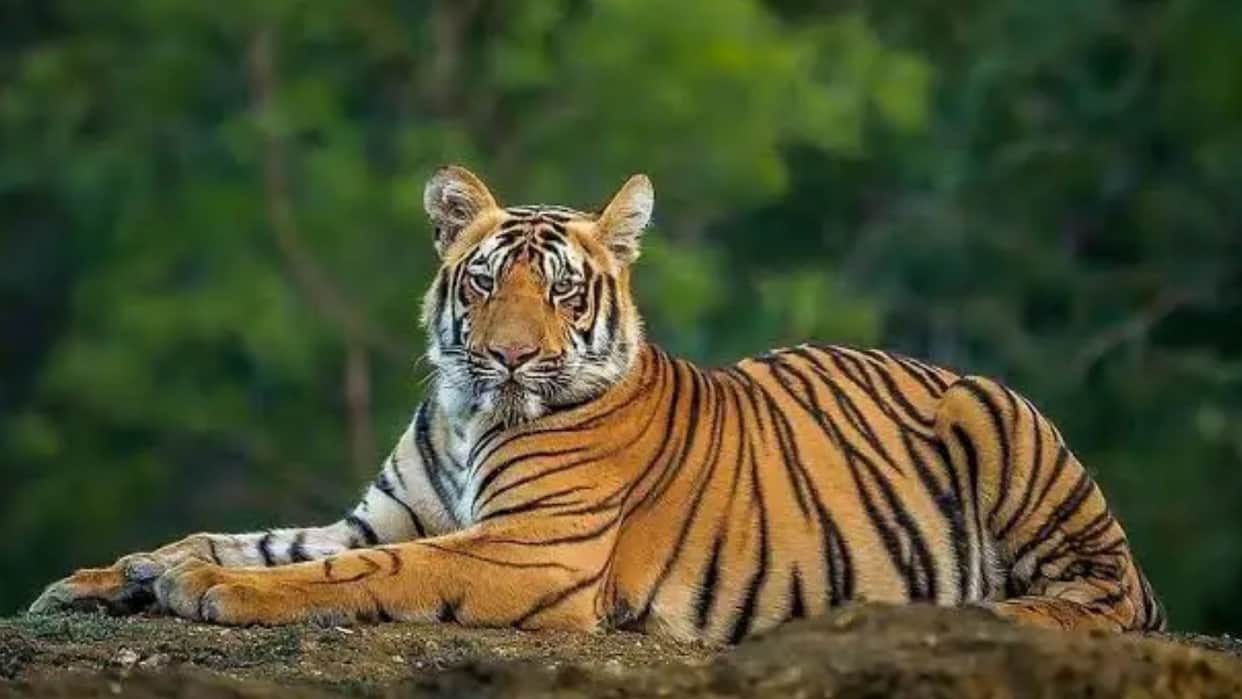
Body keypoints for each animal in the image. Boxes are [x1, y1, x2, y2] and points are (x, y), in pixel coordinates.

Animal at [30, 165, 1165, 641]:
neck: (466, 412)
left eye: (564, 291)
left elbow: (354, 572)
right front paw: (117, 575)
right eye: (487, 281)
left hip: (1001, 424)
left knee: (1104, 600)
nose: (508, 357)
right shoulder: (382, 512)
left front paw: (208, 591)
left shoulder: (530, 548)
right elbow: (249, 535)